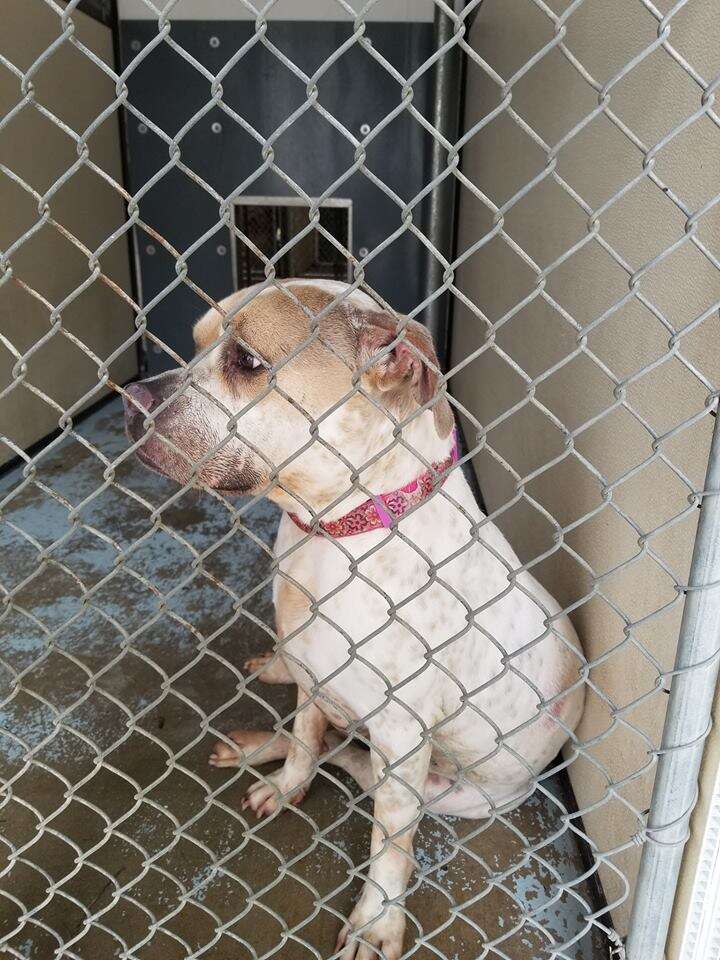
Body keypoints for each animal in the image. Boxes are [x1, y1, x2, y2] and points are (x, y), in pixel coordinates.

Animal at [124, 280, 584, 960]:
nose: (129, 400)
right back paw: (261, 736)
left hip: (442, 788)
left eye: (246, 362)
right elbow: (306, 736)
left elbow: (388, 845)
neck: (336, 531)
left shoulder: (401, 739)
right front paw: (287, 780)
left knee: (353, 762)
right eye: (197, 343)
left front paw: (376, 921)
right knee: (325, 738)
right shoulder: (314, 669)